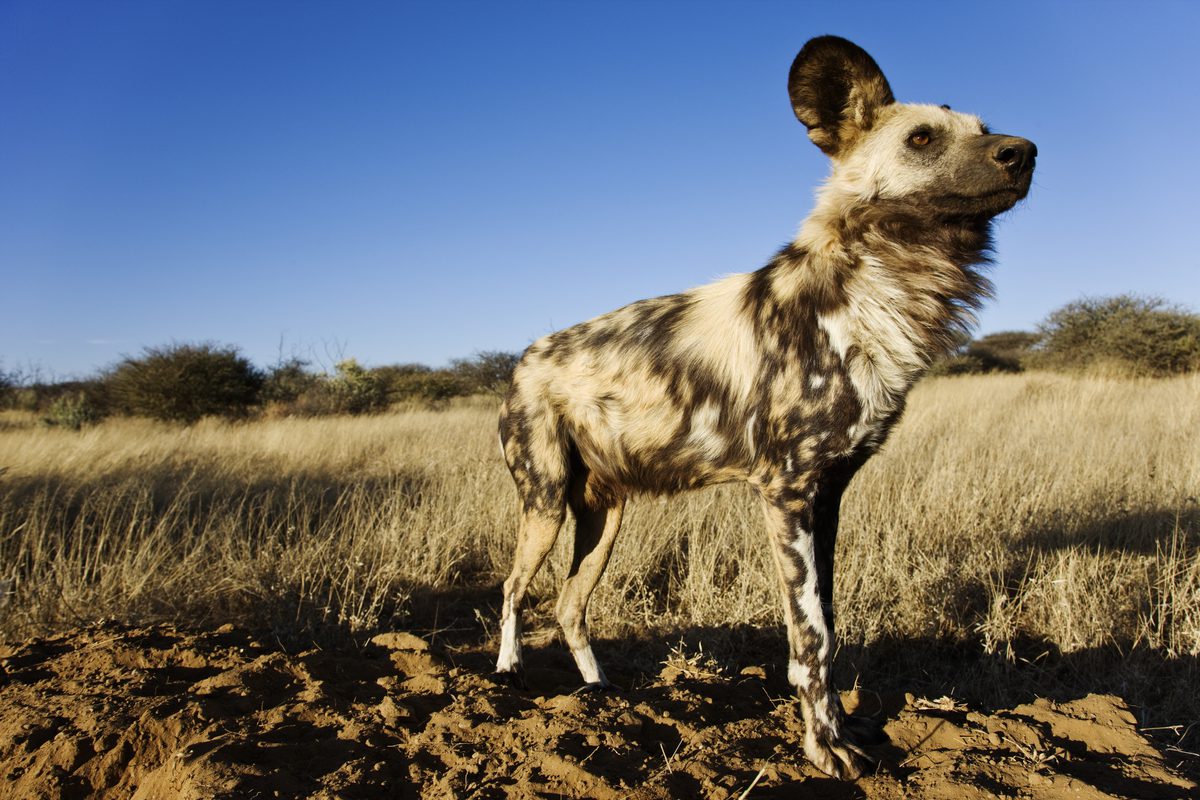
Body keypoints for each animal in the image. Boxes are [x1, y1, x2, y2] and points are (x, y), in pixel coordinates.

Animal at [494, 34, 1032, 777]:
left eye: (986, 129)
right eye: (922, 138)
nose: (1025, 151)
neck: (881, 292)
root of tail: (523, 356)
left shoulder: (827, 496)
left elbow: (828, 627)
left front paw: (842, 732)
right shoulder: (786, 493)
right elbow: (811, 638)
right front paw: (824, 749)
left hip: (605, 518)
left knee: (571, 607)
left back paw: (601, 695)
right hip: (543, 506)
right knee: (513, 589)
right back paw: (507, 675)